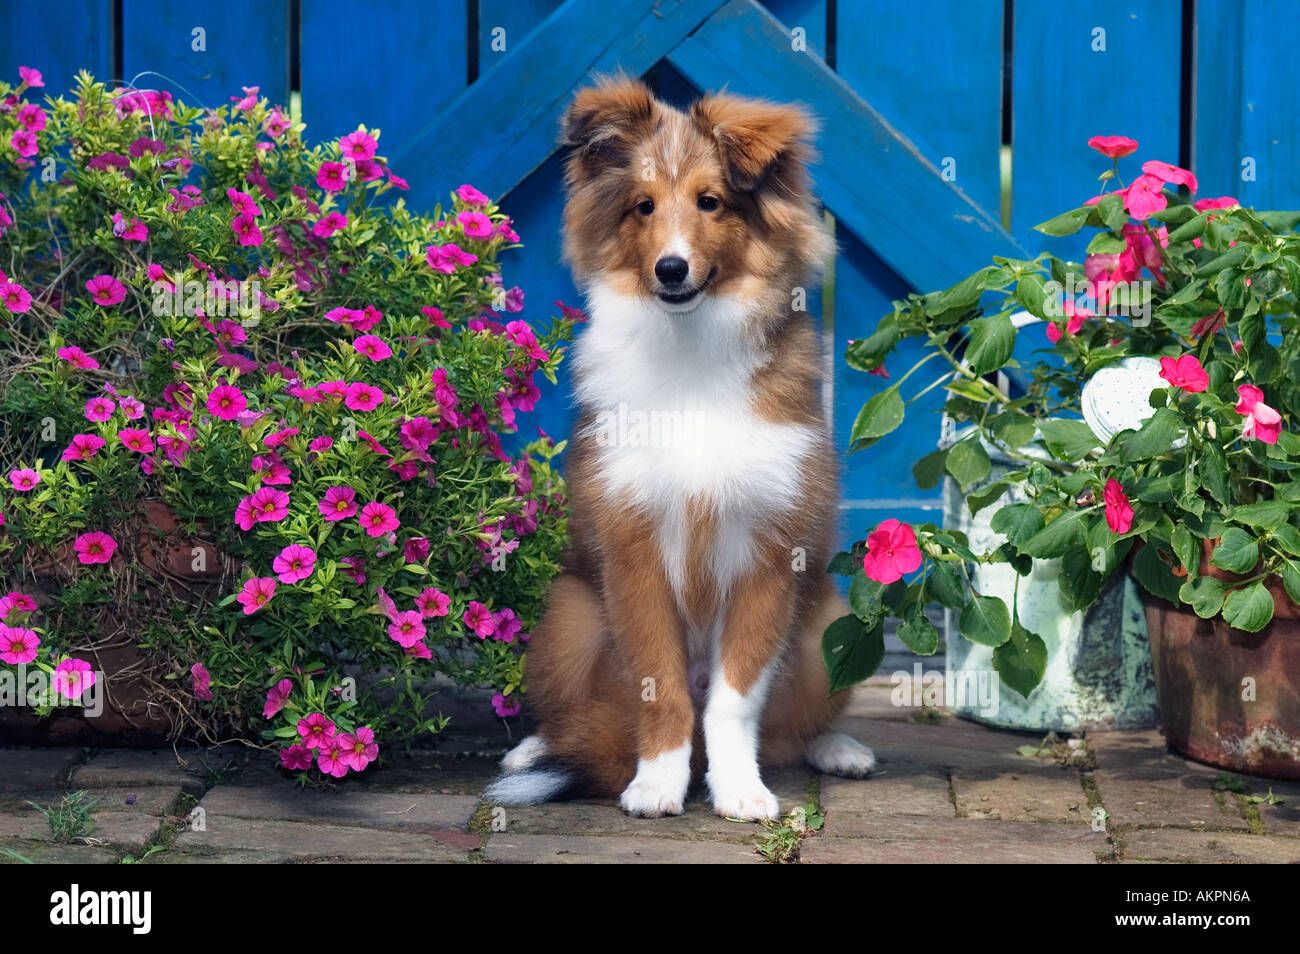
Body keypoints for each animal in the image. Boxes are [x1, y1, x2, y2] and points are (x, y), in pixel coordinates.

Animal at [488, 76, 873, 821]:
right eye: (643, 206)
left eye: (710, 201)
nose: (671, 270)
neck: (693, 349)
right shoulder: (632, 552)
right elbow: (659, 685)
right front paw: (658, 785)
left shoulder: (768, 558)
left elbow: (733, 701)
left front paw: (740, 791)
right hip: (566, 618)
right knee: (583, 715)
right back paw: (532, 748)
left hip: (827, 626)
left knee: (792, 727)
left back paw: (839, 748)